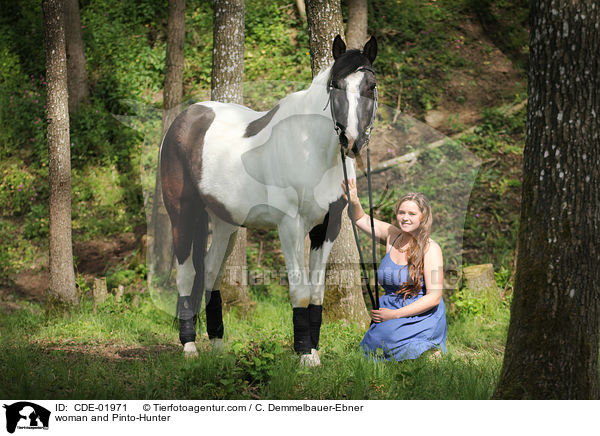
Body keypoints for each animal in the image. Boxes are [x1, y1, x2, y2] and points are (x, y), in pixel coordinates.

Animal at [157, 35, 378, 366]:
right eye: (336, 85)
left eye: (371, 85)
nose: (351, 141)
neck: (313, 149)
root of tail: (183, 121)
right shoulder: (290, 224)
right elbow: (300, 291)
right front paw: (304, 356)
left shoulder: (328, 226)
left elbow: (317, 293)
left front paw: (314, 352)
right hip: (182, 214)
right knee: (187, 274)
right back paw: (190, 347)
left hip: (225, 224)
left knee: (210, 272)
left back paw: (219, 348)